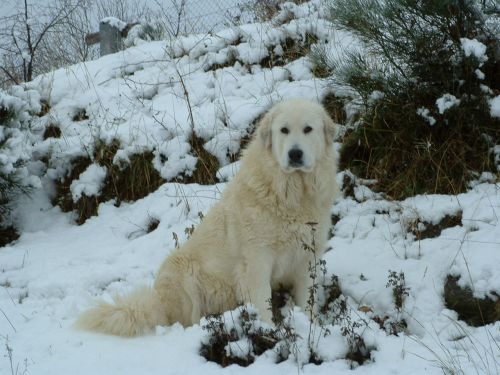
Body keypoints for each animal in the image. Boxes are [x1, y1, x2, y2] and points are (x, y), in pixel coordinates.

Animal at [75, 99, 340, 338]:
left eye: (308, 129)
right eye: (284, 130)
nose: (295, 154)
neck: (292, 194)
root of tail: (158, 299)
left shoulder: (307, 257)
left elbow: (307, 299)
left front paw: (311, 326)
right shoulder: (257, 261)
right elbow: (262, 302)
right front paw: (269, 332)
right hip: (182, 269)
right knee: (183, 318)